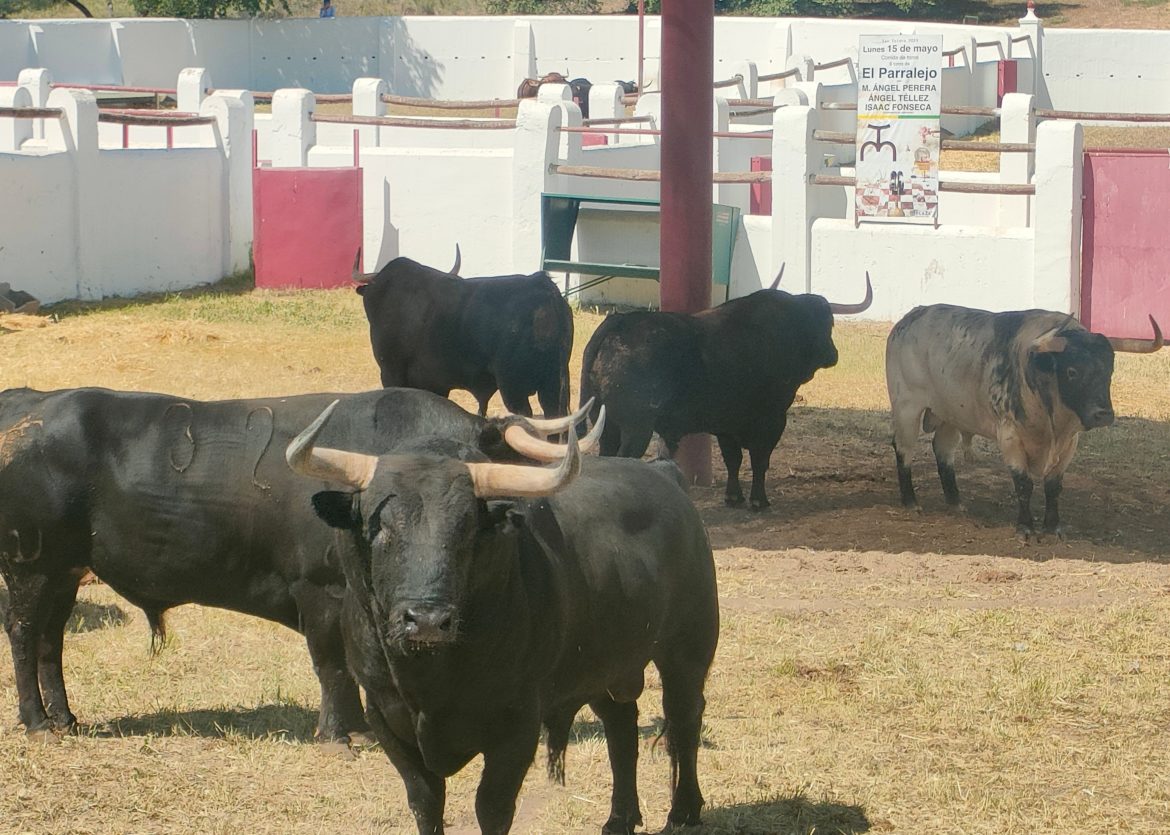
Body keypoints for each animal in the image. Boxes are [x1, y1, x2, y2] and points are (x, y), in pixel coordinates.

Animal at [0, 381, 589, 734]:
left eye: (467, 519)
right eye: (384, 523)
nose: (427, 618)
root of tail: (29, 405)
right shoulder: (318, 593)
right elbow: (332, 665)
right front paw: (341, 734)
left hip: (64, 571)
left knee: (51, 639)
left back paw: (65, 718)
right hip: (30, 567)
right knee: (26, 633)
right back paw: (36, 721)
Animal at [287, 402, 716, 832]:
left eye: (468, 529)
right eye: (380, 527)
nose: (426, 620)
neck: (429, 678)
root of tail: (665, 473)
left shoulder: (517, 724)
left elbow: (492, 806)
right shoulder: (385, 716)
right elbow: (425, 800)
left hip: (687, 649)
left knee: (684, 719)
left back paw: (683, 811)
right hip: (606, 664)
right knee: (621, 726)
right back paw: (620, 818)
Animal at [884, 301, 1160, 535]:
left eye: (1109, 371)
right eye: (1072, 371)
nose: (1103, 414)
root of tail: (910, 318)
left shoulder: (1069, 443)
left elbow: (1053, 486)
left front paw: (1053, 527)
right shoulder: (1010, 437)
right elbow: (1023, 484)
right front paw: (1025, 526)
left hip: (950, 414)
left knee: (943, 451)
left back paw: (955, 502)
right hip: (907, 408)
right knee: (904, 449)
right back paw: (911, 502)